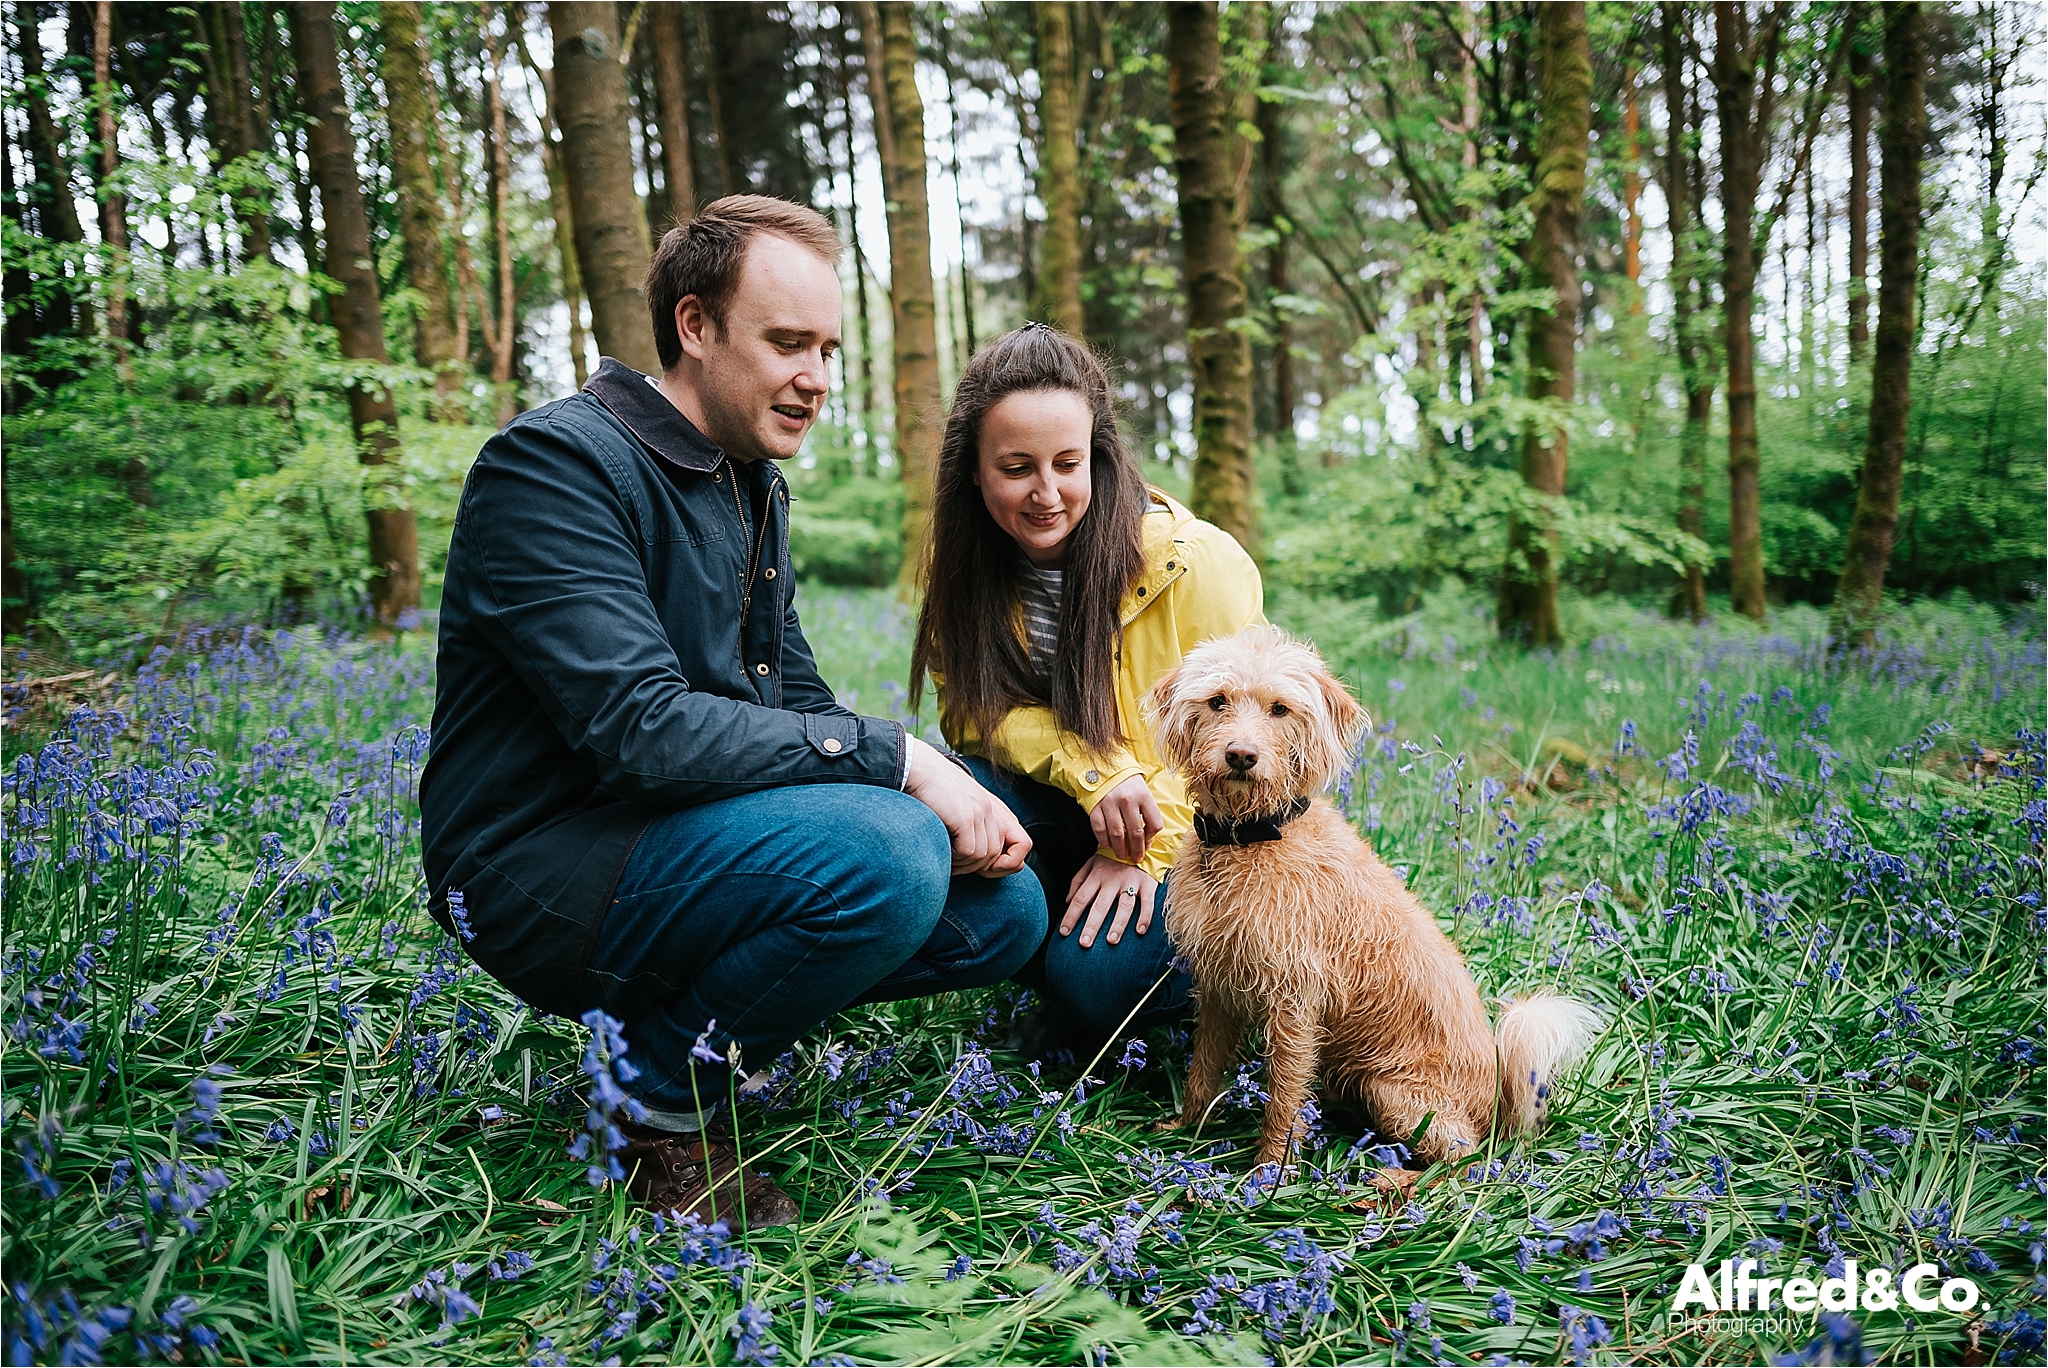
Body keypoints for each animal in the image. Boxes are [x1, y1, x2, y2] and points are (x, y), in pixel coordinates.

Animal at [1146, 626, 1589, 1171]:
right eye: (1217, 700)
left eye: (1280, 709)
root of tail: (1498, 1104)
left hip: (1393, 1092)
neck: (1249, 839)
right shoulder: (1219, 991)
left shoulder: (1295, 1004)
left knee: (1460, 1163)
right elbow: (1203, 1071)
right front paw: (1187, 1131)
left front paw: (1270, 1173)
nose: (1241, 755)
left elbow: (1283, 1098)